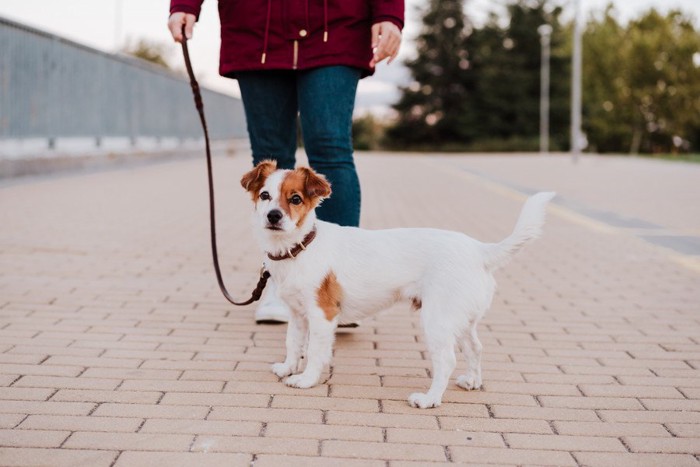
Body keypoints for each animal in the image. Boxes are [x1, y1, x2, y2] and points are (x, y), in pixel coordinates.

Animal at [241, 162, 552, 410]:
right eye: (265, 195)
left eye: (295, 198)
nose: (273, 216)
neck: (300, 248)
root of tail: (479, 250)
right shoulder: (297, 314)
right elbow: (293, 343)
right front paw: (287, 367)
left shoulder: (322, 315)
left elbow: (316, 352)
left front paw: (305, 379)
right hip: (460, 319)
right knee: (474, 348)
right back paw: (473, 381)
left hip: (437, 320)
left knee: (447, 361)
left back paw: (429, 399)